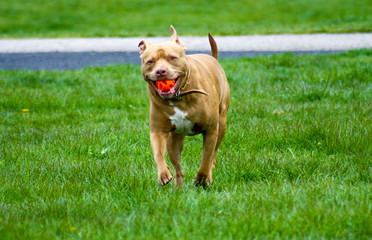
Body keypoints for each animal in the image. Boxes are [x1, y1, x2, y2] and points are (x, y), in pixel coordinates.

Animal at [138, 26, 228, 188]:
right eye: (150, 61)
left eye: (172, 58)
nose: (161, 71)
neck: (178, 97)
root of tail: (213, 58)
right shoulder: (158, 131)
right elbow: (158, 154)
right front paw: (163, 173)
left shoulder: (211, 130)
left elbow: (206, 156)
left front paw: (201, 178)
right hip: (174, 139)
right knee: (177, 166)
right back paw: (178, 187)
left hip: (222, 123)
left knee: (213, 156)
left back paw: (207, 178)